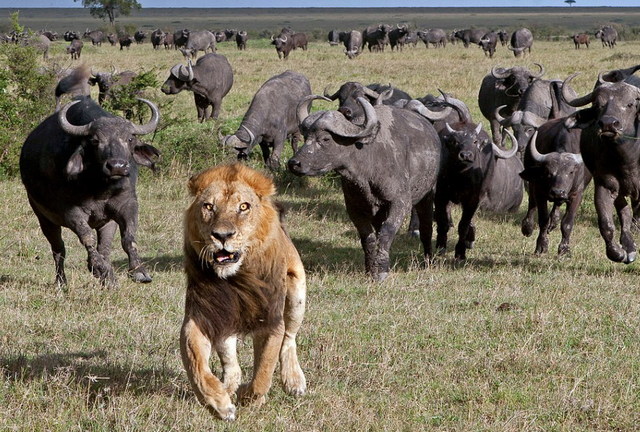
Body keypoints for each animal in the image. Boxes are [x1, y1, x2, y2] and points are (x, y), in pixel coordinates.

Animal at [20, 97, 160, 286]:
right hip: (44, 217)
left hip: (107, 222)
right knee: (58, 250)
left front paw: (139, 271)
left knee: (105, 247)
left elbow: (129, 237)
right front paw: (99, 268)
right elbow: (87, 237)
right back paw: (62, 281)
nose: (117, 166)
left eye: (130, 138)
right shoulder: (70, 211)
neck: (99, 188)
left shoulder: (128, 204)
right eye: (95, 140)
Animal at [180, 164, 308, 420]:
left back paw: (294, 381)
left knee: (290, 339)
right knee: (231, 361)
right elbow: (196, 363)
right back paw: (228, 386)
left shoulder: (270, 320)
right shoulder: (202, 316)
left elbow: (264, 370)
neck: (236, 279)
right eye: (208, 206)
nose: (222, 236)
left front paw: (251, 398)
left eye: (244, 207)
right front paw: (219, 403)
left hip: (297, 291)